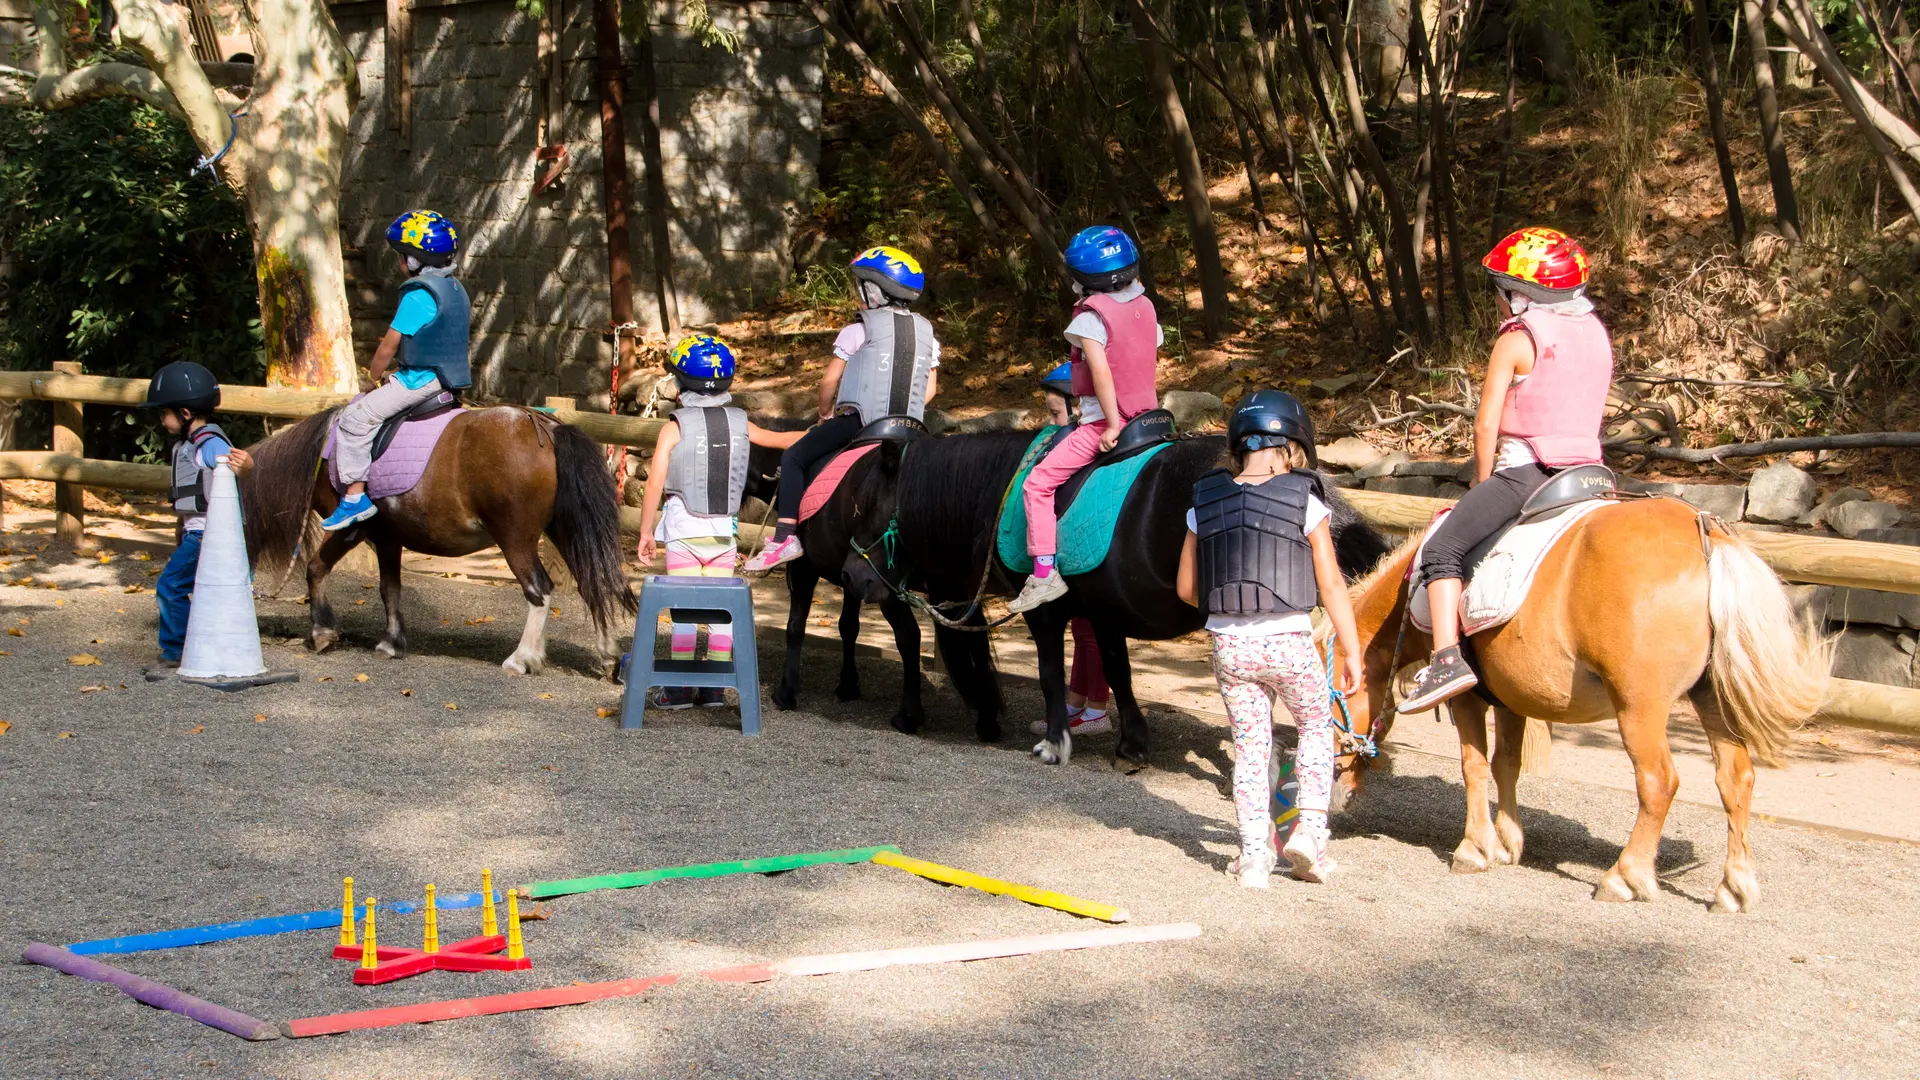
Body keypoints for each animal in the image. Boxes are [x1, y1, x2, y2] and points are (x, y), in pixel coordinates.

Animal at [240, 405, 637, 672]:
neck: (325, 454)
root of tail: (543, 427)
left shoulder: (354, 529)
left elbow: (316, 567)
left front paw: (322, 631)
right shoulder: (387, 538)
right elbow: (390, 589)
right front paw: (392, 641)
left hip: (516, 539)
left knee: (539, 590)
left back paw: (522, 658)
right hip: (564, 531)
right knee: (593, 581)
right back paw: (607, 656)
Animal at [848, 426, 1390, 764]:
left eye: (866, 505)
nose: (855, 577)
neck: (1003, 491)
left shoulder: (1046, 614)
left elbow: (1050, 675)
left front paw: (1055, 744)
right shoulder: (1104, 612)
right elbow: (1118, 674)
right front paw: (1133, 743)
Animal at [1328, 495, 1820, 907]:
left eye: (1329, 703)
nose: (1336, 796)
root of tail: (1705, 532)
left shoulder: (1467, 696)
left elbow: (1473, 765)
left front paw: (1476, 847)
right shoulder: (1510, 695)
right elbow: (1506, 763)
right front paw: (1508, 841)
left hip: (1638, 706)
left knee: (1658, 781)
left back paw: (1626, 876)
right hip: (1712, 698)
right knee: (1736, 779)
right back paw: (1734, 886)